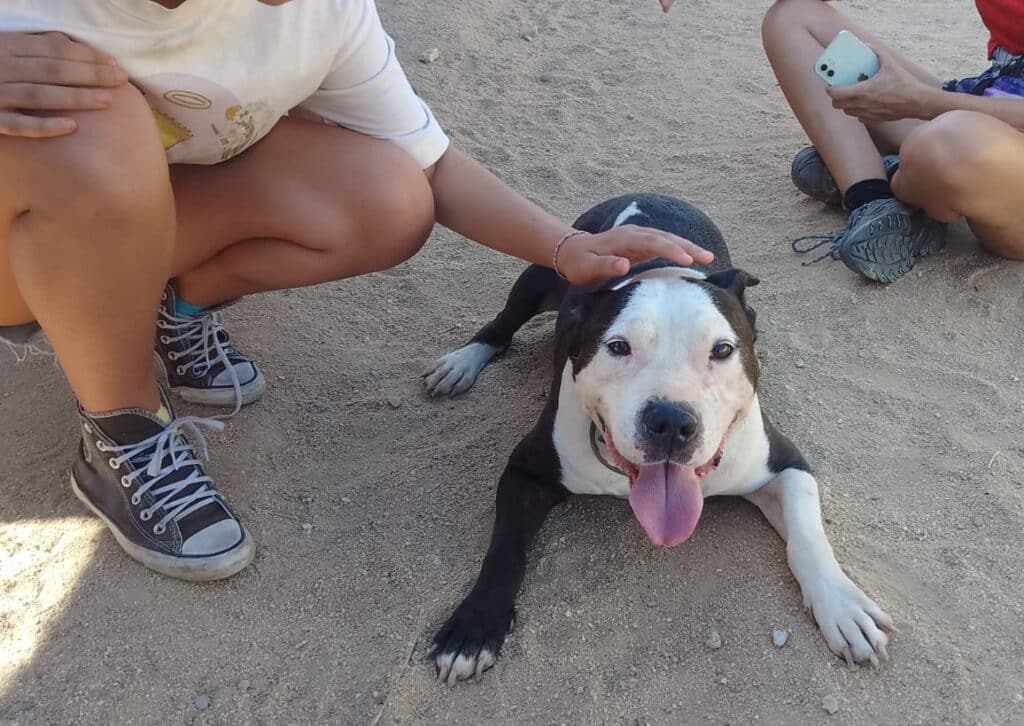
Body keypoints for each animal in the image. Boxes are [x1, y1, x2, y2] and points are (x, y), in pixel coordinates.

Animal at [419, 195, 892, 684]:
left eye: (722, 350)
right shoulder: (525, 469)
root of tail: (647, 193)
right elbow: (504, 549)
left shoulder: (784, 464)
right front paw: (473, 628)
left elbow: (808, 534)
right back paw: (462, 362)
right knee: (504, 322)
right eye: (618, 347)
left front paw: (842, 605)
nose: (670, 421)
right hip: (546, 268)